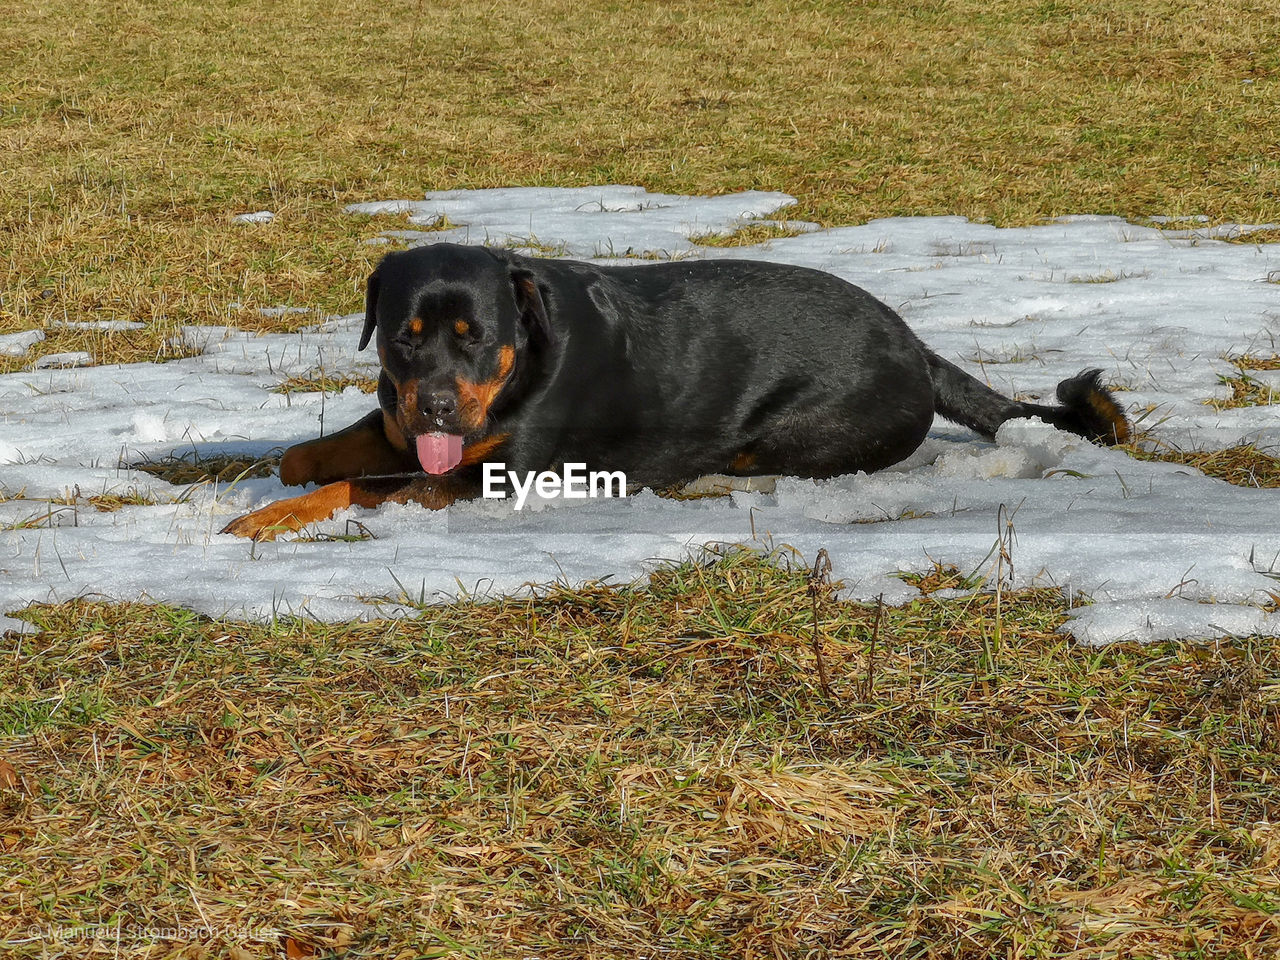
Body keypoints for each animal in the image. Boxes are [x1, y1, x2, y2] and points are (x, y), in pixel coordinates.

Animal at [222, 241, 1131, 542]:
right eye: (405, 339)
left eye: (476, 338)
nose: (440, 406)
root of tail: (916, 345)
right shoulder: (401, 420)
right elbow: (325, 451)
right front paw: (263, 476)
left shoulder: (489, 477)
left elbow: (363, 486)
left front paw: (265, 518)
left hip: (795, 434)